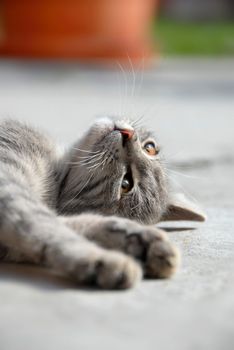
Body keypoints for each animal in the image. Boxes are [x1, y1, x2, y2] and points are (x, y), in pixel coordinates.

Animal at [0, 117, 204, 290]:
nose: (127, 134)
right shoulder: (8, 184)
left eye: (126, 184)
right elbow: (44, 224)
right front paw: (99, 256)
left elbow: (52, 225)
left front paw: (134, 238)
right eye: (150, 148)